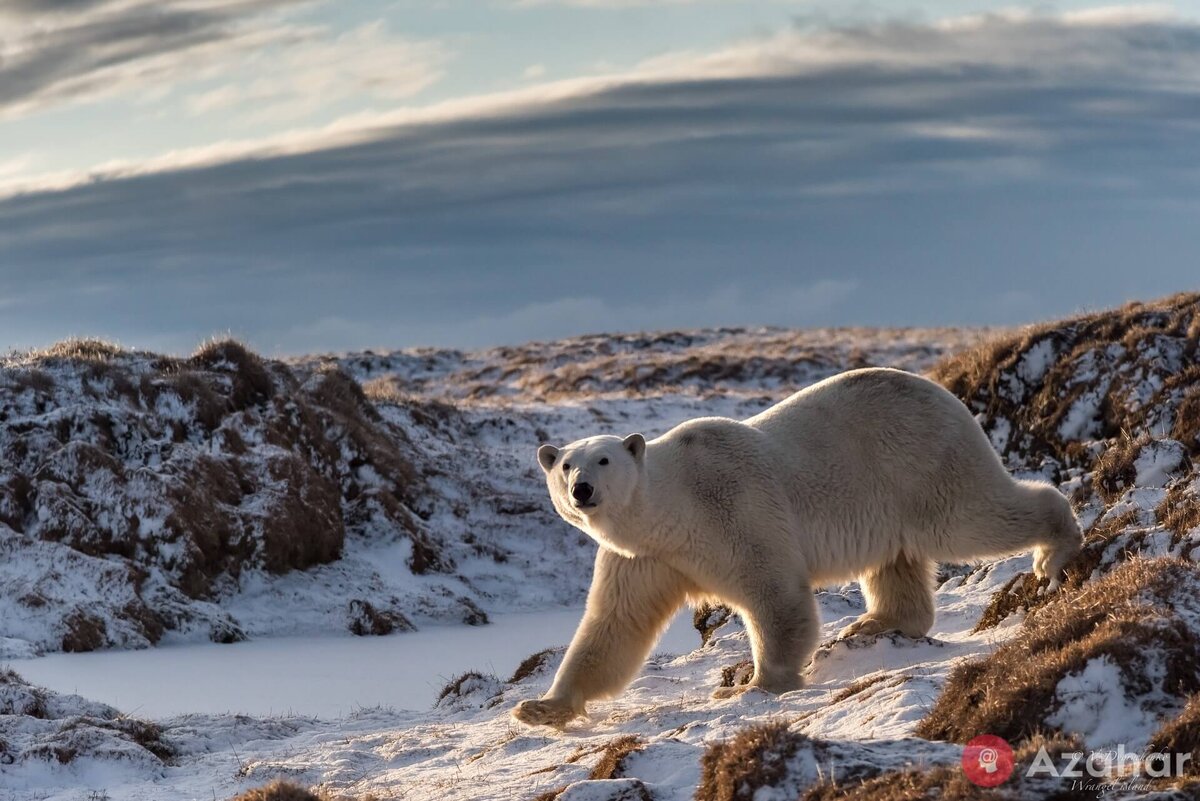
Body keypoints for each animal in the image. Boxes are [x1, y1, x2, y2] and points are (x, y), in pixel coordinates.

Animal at [511, 366, 1084, 729]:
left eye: (605, 459)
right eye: (567, 464)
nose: (582, 489)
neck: (674, 508)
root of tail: (944, 393)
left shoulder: (734, 508)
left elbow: (774, 592)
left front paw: (755, 684)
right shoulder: (645, 557)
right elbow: (614, 625)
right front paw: (541, 708)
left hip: (921, 462)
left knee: (971, 517)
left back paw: (1056, 547)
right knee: (895, 562)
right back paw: (875, 623)